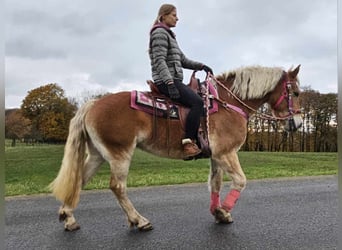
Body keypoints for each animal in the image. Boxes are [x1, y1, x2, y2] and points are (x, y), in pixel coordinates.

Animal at [48, 64, 302, 230]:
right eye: (297, 92)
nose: (298, 123)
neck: (228, 103)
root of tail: (92, 104)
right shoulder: (227, 153)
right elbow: (240, 181)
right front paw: (224, 210)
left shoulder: (216, 156)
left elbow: (216, 184)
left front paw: (218, 213)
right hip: (120, 154)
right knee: (117, 187)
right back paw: (139, 220)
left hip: (98, 155)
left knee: (80, 180)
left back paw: (68, 217)